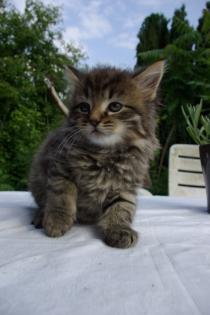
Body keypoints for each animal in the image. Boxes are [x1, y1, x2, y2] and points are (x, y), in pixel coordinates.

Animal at [28, 61, 165, 249]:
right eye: (84, 107)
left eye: (115, 106)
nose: (93, 120)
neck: (103, 153)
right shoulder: (60, 166)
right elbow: (61, 194)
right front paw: (57, 220)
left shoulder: (125, 184)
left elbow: (121, 206)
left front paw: (119, 228)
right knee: (43, 201)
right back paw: (41, 216)